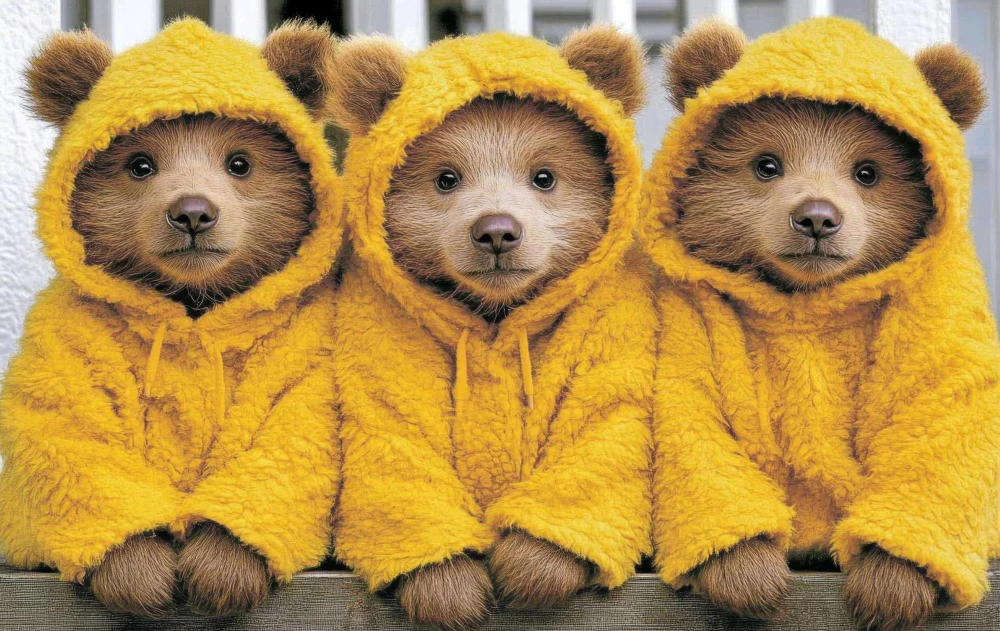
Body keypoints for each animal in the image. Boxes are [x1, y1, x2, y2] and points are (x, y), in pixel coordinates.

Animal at [1, 19, 343, 618]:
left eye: (239, 162)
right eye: (140, 164)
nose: (193, 213)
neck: (192, 303)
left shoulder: (304, 341)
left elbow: (288, 444)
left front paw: (223, 571)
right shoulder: (71, 335)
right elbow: (75, 444)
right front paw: (142, 577)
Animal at [328, 27, 654, 631]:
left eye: (544, 176)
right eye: (446, 177)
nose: (498, 231)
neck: (495, 316)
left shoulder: (609, 321)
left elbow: (599, 439)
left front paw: (529, 568)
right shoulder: (384, 331)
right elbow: (396, 451)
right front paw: (450, 590)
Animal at [643, 17, 997, 631]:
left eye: (867, 172)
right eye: (766, 164)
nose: (816, 217)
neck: (807, 303)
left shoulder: (935, 304)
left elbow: (939, 420)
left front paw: (890, 586)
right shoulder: (696, 314)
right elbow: (697, 431)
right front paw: (747, 576)